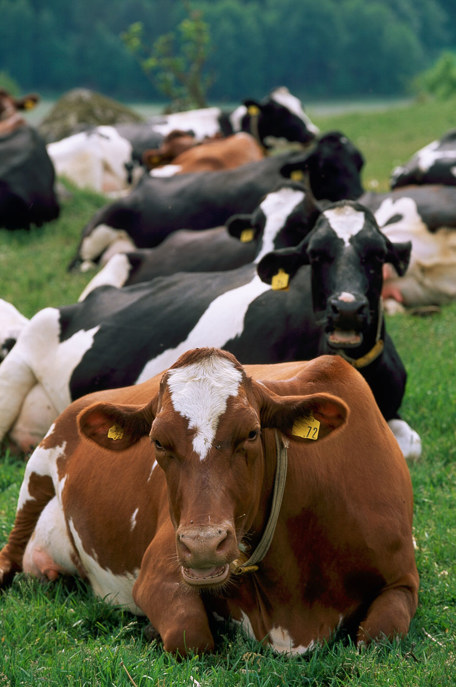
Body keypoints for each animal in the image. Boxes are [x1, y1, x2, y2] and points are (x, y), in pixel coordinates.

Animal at [0, 348, 419, 655]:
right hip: (37, 471)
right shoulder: (160, 570)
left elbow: (376, 638)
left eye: (252, 433)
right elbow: (190, 636)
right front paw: (153, 631)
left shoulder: (403, 580)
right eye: (157, 441)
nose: (202, 543)